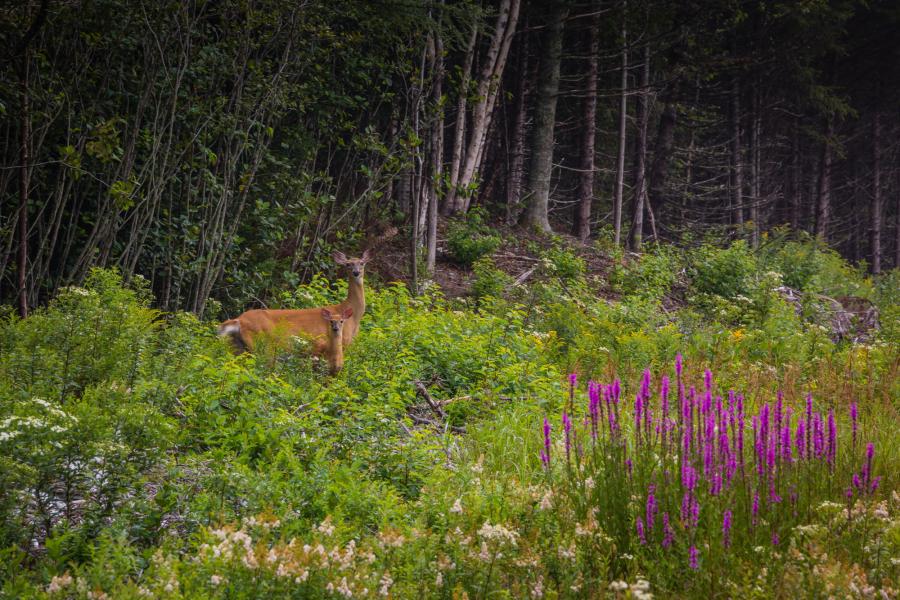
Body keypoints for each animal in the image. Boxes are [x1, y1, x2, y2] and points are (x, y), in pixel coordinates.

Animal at [219, 250, 372, 356]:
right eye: (348, 264)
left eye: (362, 263)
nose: (356, 272)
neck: (352, 314)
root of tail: (239, 321)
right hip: (261, 343)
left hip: (237, 346)